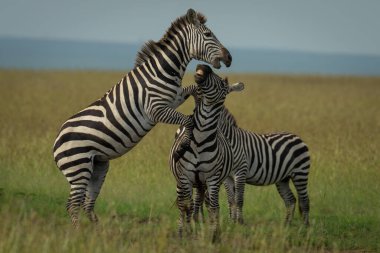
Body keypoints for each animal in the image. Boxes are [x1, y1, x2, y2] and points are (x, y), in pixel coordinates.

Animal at [52, 9, 232, 227]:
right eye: (208, 34)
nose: (229, 57)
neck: (163, 71)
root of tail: (57, 139)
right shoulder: (156, 109)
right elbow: (187, 121)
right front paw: (182, 148)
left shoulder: (174, 98)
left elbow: (191, 91)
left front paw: (200, 96)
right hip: (79, 167)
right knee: (73, 204)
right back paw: (79, 232)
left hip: (98, 166)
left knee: (87, 202)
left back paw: (96, 230)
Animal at [169, 64, 243, 242]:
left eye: (222, 84)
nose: (203, 66)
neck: (200, 139)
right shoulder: (185, 176)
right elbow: (185, 206)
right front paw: (184, 233)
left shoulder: (213, 178)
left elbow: (214, 206)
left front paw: (214, 234)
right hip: (182, 181)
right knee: (187, 203)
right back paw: (190, 225)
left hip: (204, 182)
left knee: (202, 201)